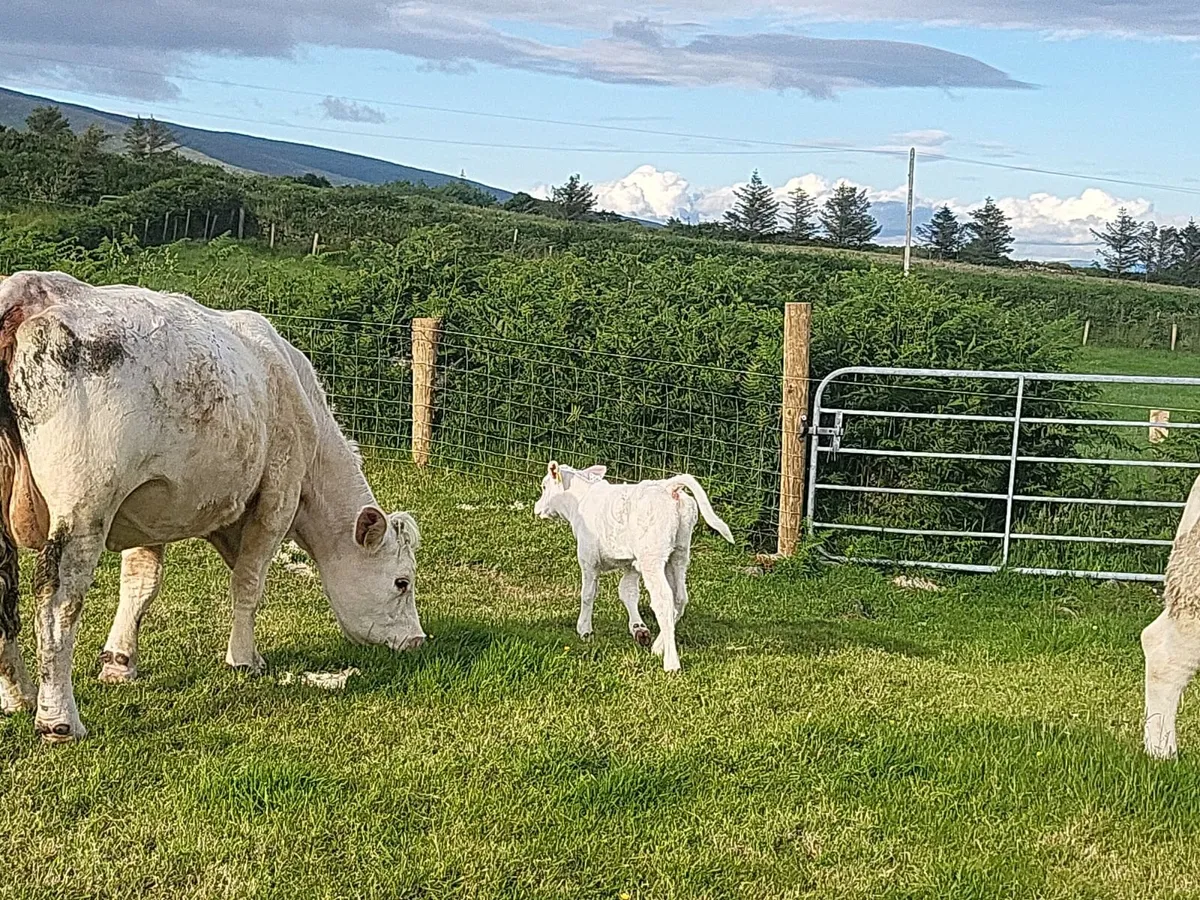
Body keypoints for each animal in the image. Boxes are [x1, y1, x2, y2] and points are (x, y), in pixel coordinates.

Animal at [0, 271, 424, 742]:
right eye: (402, 582)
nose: (418, 640)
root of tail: (27, 293)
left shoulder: (149, 505)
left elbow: (141, 582)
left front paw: (119, 662)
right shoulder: (278, 497)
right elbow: (249, 582)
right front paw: (244, 658)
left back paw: (18, 697)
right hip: (84, 507)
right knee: (58, 599)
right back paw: (57, 718)